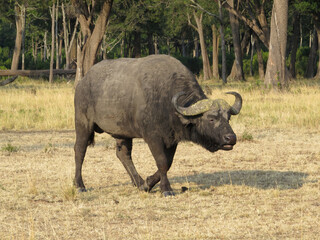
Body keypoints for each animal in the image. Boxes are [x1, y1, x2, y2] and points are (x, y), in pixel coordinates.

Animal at [74, 54, 241, 197]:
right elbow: (161, 161)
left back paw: (138, 182)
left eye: (228, 118)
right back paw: (79, 185)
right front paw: (166, 189)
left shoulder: (172, 139)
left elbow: (168, 162)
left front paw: (147, 184)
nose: (231, 138)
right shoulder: (153, 137)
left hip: (122, 132)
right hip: (83, 124)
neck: (167, 103)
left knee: (123, 154)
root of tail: (83, 82)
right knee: (79, 150)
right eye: (211, 119)